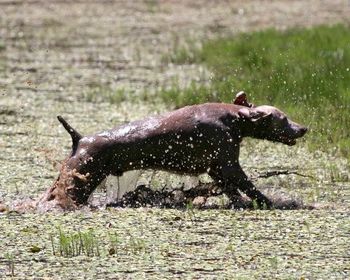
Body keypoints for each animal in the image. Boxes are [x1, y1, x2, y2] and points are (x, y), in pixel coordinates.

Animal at [41, 93, 306, 209]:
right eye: (283, 119)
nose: (303, 128)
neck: (234, 118)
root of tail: (80, 139)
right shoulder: (228, 162)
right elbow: (248, 185)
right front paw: (272, 202)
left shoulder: (216, 167)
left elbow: (232, 190)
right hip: (82, 179)